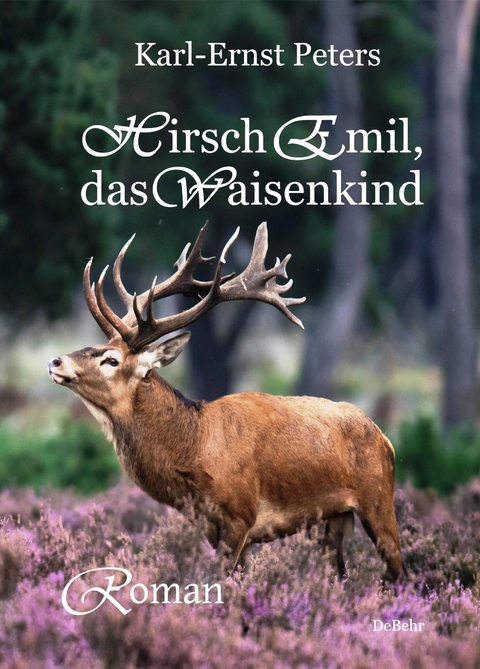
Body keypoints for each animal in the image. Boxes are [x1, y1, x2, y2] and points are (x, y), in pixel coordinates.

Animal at [48, 222, 406, 581]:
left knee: (400, 570)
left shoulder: (240, 515)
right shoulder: (215, 528)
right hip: (334, 519)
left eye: (111, 359)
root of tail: (385, 439)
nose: (56, 361)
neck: (195, 449)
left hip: (378, 501)